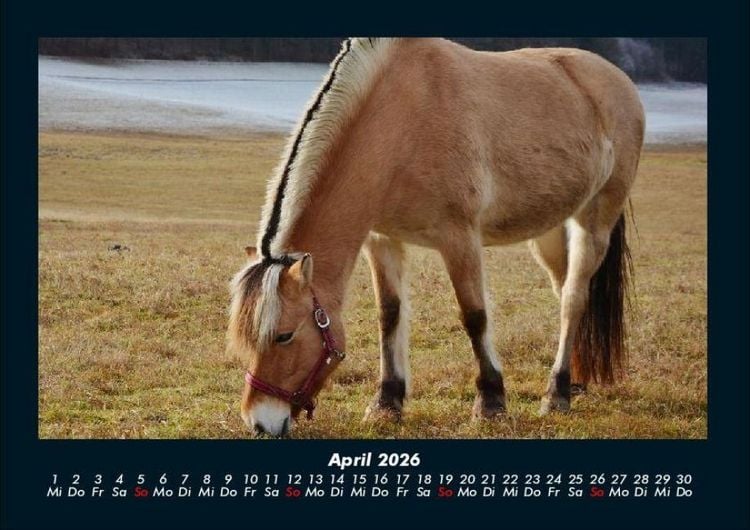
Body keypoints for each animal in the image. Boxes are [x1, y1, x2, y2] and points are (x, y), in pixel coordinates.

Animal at [228, 37, 644, 437]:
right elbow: (390, 315)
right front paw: (386, 403)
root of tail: (619, 81)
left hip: (594, 221)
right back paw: (575, 381)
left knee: (573, 299)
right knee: (566, 293)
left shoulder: (459, 239)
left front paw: (490, 403)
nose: (260, 422)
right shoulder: (382, 240)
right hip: (550, 231)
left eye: (284, 336)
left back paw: (556, 393)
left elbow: (474, 316)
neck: (404, 119)